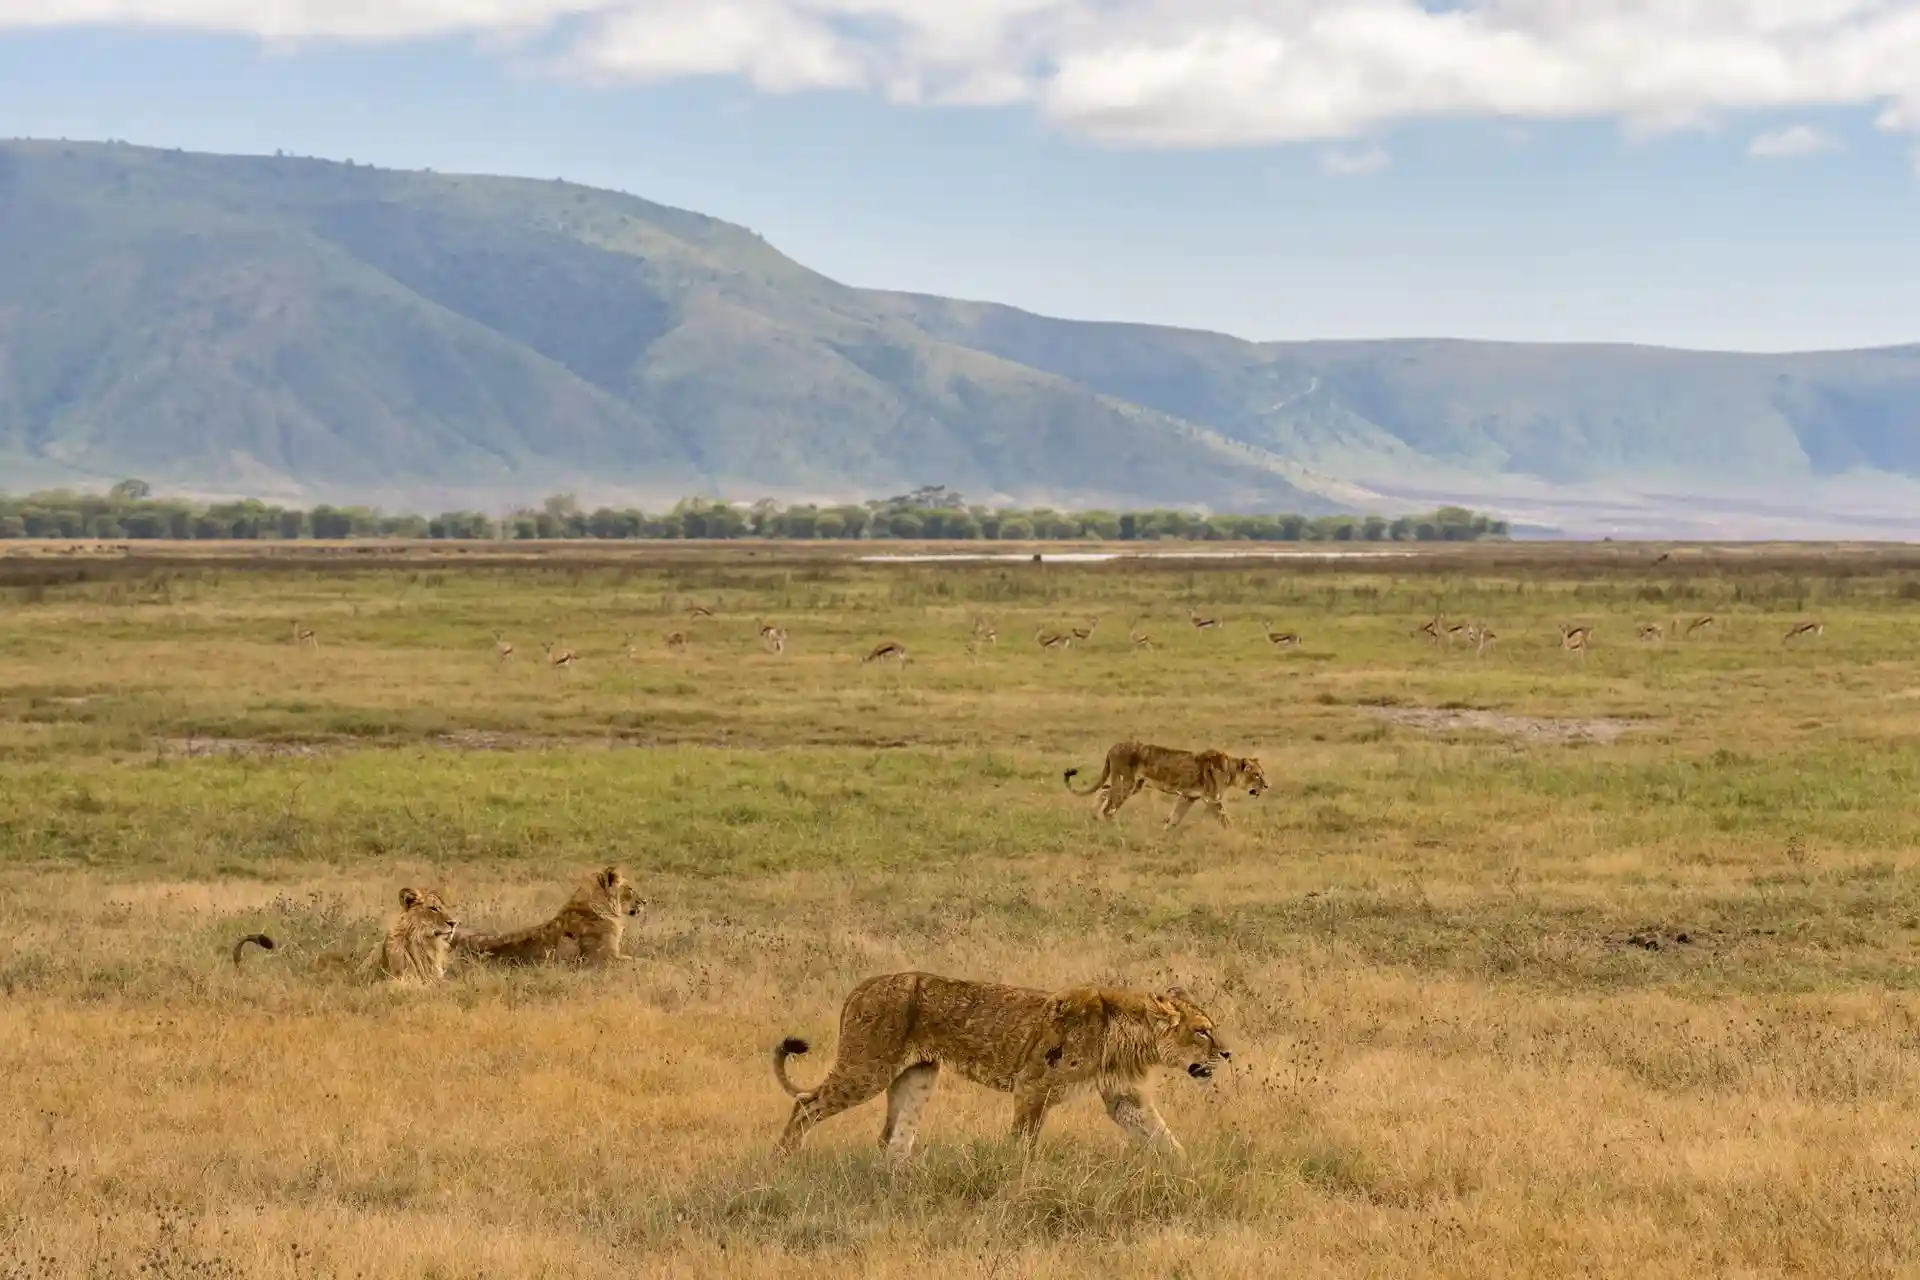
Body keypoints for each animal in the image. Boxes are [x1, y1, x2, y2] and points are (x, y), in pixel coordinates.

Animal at [768, 971, 1228, 1159]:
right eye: (1203, 1031)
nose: (1227, 1054)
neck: (1129, 1038)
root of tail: (861, 986)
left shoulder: (1125, 1098)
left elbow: (1163, 1136)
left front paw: (1188, 1174)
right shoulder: (1033, 1087)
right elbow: (1022, 1144)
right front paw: (1014, 1179)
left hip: (918, 1076)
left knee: (894, 1138)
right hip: (867, 1068)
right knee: (805, 1106)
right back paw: (784, 1162)